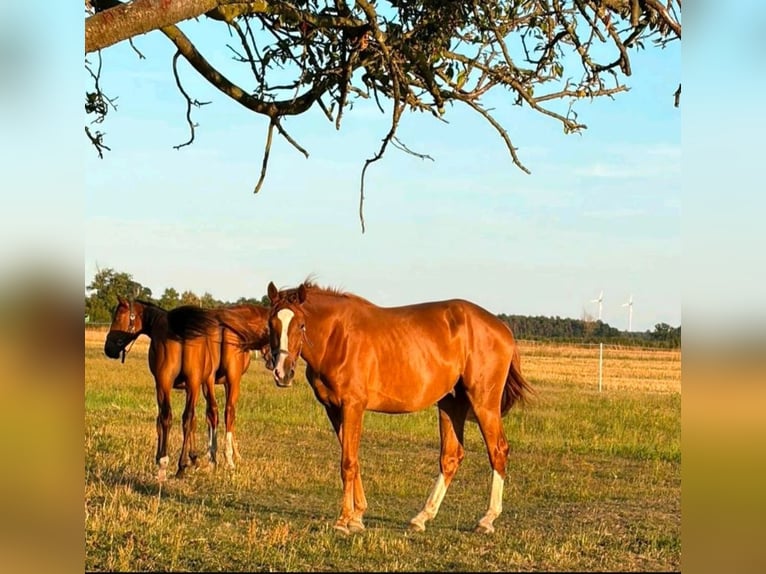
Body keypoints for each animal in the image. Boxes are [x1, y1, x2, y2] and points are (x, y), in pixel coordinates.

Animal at [104, 297, 222, 479]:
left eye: (117, 318)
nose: (108, 349)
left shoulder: (160, 383)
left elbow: (160, 419)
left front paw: (161, 456)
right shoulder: (190, 386)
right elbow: (192, 420)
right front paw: (193, 457)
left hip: (175, 383)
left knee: (173, 416)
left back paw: (167, 463)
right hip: (196, 383)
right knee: (194, 416)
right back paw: (188, 464)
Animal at [265, 280, 534, 534]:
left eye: (301, 324)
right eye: (271, 324)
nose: (282, 373)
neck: (337, 337)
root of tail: (503, 329)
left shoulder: (352, 406)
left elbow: (348, 463)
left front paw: (343, 521)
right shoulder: (333, 409)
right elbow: (353, 459)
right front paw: (357, 517)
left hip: (483, 403)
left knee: (498, 451)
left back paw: (487, 520)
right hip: (451, 403)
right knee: (450, 457)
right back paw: (422, 517)